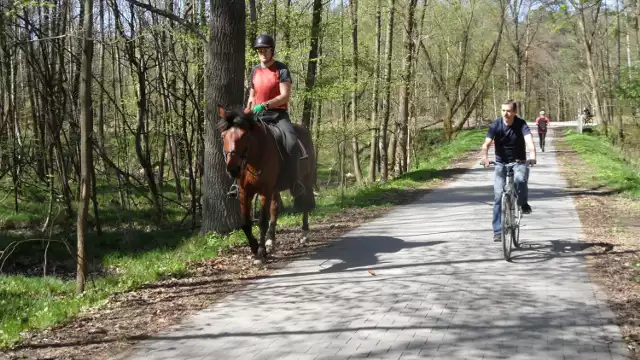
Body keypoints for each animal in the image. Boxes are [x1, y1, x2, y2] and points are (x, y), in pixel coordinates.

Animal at [218, 104, 318, 264]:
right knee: (275, 209)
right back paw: (271, 241)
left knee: (305, 204)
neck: (254, 158)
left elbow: (262, 222)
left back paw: (304, 234)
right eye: (223, 136)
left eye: (244, 136)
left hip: (306, 181)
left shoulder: (265, 191)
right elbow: (246, 223)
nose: (233, 169)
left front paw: (260, 253)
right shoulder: (245, 192)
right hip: (275, 189)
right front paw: (254, 248)